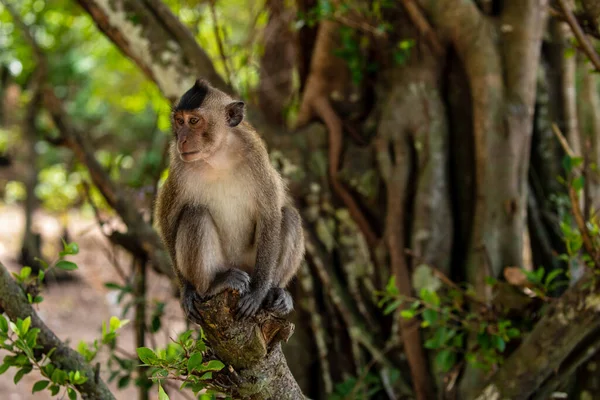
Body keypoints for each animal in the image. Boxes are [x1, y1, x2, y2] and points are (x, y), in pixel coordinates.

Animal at [156, 79, 304, 320]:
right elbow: (167, 221)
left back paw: (276, 292)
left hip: (251, 262)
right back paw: (211, 285)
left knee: (289, 215)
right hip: (222, 264)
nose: (182, 139)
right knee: (195, 214)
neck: (218, 155)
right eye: (179, 121)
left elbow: (270, 214)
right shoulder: (177, 167)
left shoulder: (256, 156)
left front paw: (258, 293)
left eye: (194, 121)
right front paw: (186, 290)